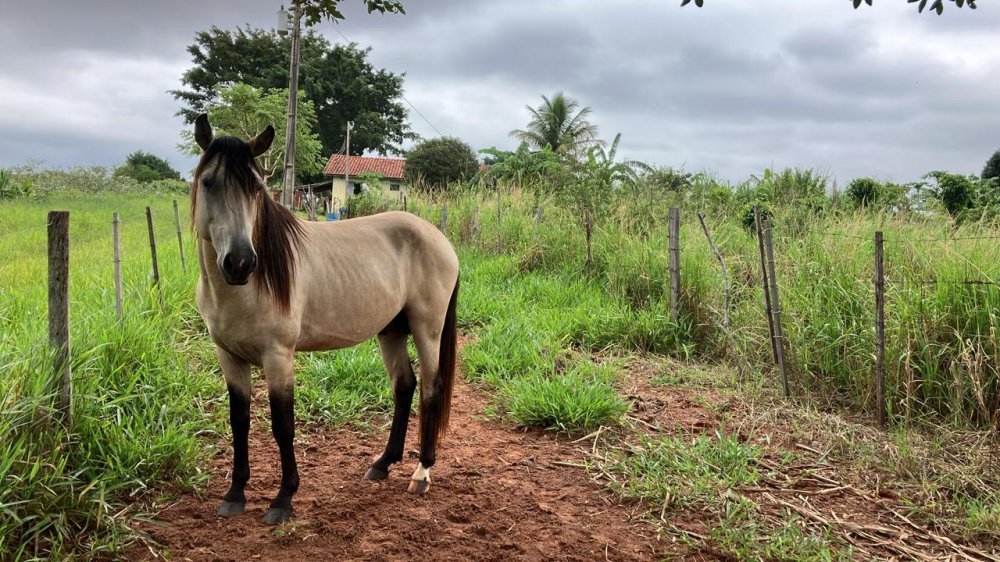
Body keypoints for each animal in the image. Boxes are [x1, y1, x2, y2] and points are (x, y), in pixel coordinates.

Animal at [189, 115, 458, 524]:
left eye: (256, 188)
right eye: (208, 182)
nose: (240, 262)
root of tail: (440, 239)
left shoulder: (278, 356)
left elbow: (283, 427)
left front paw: (283, 499)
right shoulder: (229, 357)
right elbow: (239, 422)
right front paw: (235, 494)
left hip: (427, 330)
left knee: (431, 389)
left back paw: (422, 472)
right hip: (391, 330)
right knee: (404, 386)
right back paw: (383, 464)